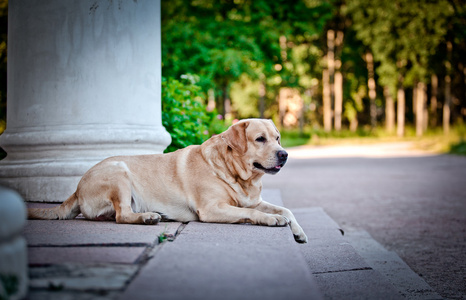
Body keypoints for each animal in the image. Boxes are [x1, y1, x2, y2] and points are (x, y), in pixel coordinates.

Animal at [27, 118, 308, 243]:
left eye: (278, 138)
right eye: (260, 139)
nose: (284, 154)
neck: (236, 174)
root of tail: (77, 187)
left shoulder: (251, 201)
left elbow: (286, 209)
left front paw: (299, 232)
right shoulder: (212, 209)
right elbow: (255, 214)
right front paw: (271, 220)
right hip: (119, 172)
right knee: (122, 215)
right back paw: (148, 217)